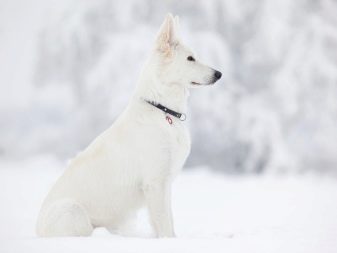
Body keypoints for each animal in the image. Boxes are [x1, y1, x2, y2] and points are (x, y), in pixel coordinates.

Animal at [36, 13, 220, 238]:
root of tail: (37, 228)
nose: (219, 74)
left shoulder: (165, 184)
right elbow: (164, 224)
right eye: (190, 58)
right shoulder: (155, 182)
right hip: (74, 211)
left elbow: (169, 221)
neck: (162, 109)